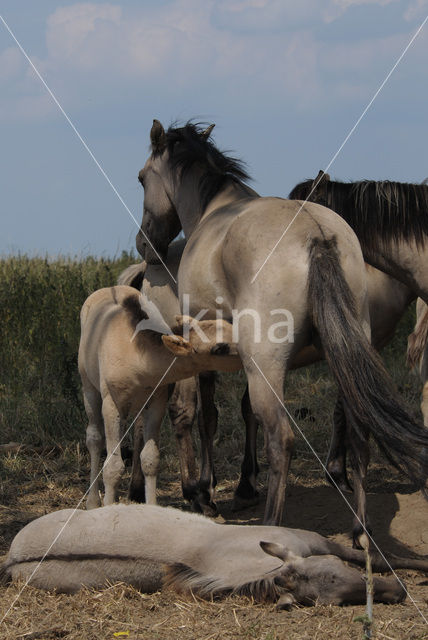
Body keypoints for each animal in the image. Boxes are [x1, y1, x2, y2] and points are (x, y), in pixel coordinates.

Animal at [77, 284, 241, 510]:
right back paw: (93, 502)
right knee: (94, 438)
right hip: (89, 388)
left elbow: (150, 459)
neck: (139, 360)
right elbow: (113, 466)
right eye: (219, 348)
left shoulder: (157, 402)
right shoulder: (112, 403)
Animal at [135, 120, 428, 544]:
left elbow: (200, 415)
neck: (216, 209)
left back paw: (270, 529)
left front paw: (203, 493)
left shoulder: (201, 347)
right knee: (359, 433)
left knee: (281, 440)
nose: (145, 245)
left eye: (142, 178)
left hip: (267, 367)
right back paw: (360, 531)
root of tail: (316, 235)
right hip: (344, 355)